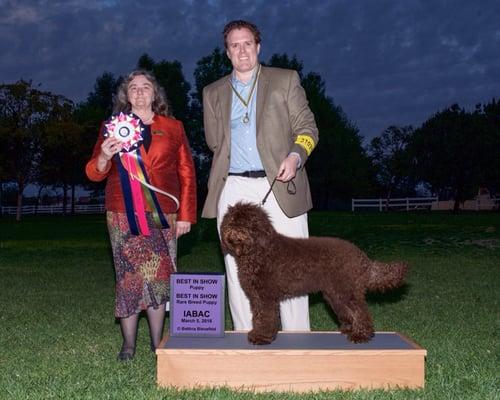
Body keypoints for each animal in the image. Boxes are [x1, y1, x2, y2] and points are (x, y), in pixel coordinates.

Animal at [221, 202, 408, 346]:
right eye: (231, 221)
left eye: (248, 224)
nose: (234, 232)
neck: (259, 252)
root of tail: (362, 257)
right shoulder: (257, 297)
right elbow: (258, 317)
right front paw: (257, 333)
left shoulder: (266, 296)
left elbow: (266, 318)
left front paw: (261, 337)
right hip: (334, 294)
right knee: (349, 311)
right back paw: (349, 329)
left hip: (346, 290)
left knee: (361, 311)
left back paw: (361, 335)